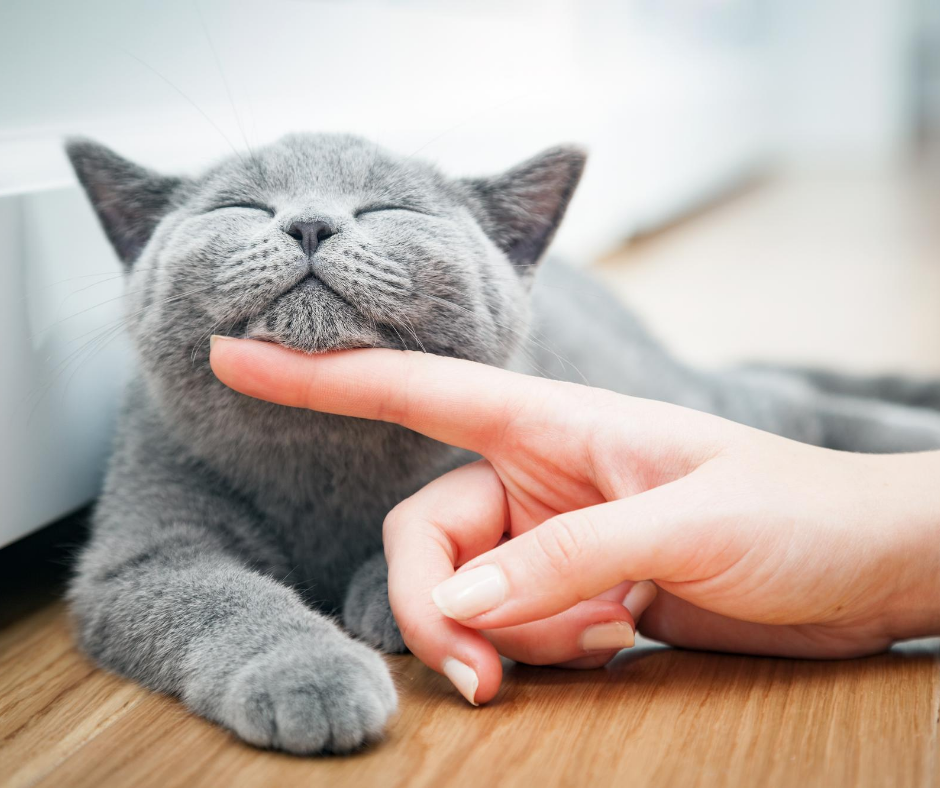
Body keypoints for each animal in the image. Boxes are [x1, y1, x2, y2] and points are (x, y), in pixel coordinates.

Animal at [66, 132, 940, 756]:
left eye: (388, 209)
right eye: (243, 205)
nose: (310, 222)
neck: (321, 452)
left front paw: (386, 594)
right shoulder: (142, 550)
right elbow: (221, 597)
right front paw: (309, 672)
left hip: (682, 395)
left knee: (790, 404)